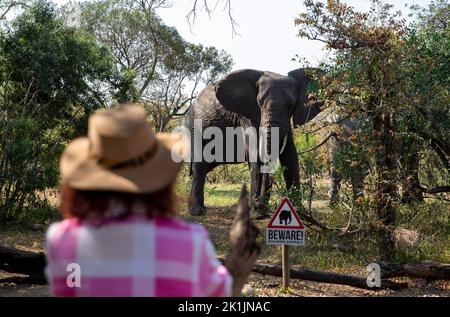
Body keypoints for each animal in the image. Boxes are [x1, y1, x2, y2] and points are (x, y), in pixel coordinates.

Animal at [185, 66, 322, 215]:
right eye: (259, 103)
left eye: (291, 105)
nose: (259, 204)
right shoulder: (246, 115)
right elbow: (255, 154)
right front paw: (257, 214)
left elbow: (290, 156)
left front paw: (298, 211)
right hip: (195, 127)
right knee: (200, 166)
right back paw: (197, 212)